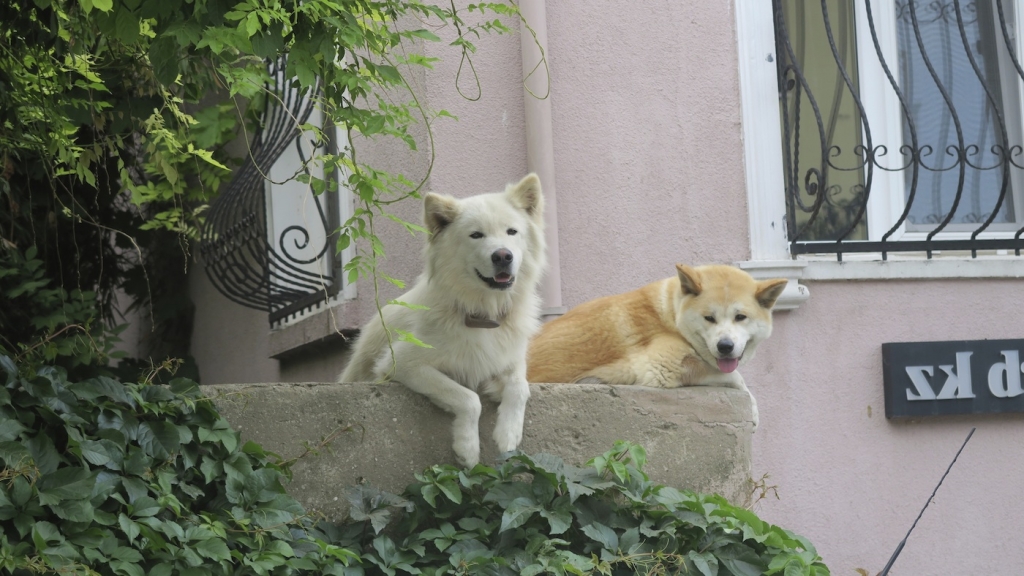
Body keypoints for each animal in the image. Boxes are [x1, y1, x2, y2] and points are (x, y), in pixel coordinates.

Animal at [339, 172, 548, 463]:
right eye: (476, 235)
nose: (503, 256)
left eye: (512, 231)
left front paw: (508, 433)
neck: (481, 312)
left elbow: (520, 387)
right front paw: (467, 447)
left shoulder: (512, 359)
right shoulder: (403, 364)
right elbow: (468, 398)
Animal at [524, 264, 786, 426]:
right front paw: (753, 410)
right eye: (709, 318)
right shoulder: (660, 367)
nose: (725, 346)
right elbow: (735, 378)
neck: (670, 313)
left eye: (740, 317)